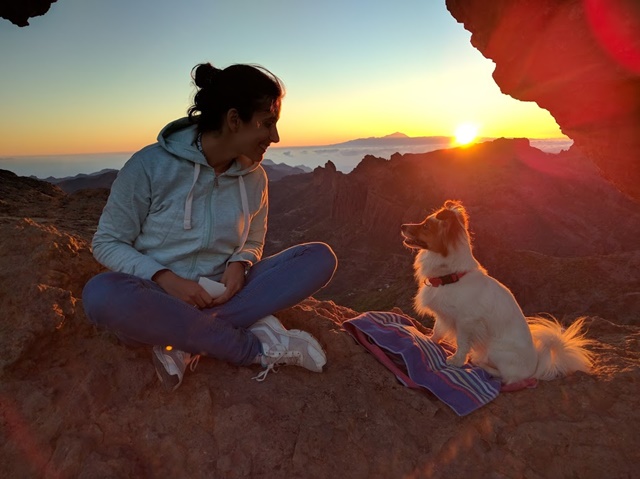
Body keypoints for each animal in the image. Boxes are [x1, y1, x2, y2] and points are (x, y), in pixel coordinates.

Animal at [402, 201, 592, 384]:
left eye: (426, 226)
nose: (403, 225)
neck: (451, 277)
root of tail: (536, 368)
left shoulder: (466, 321)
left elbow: (462, 343)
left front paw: (456, 361)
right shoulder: (444, 315)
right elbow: (438, 330)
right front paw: (430, 339)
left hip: (495, 350)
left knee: (507, 378)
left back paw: (481, 364)